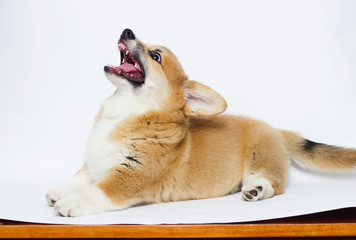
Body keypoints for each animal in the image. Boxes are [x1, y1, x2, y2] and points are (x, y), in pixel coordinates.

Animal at [46, 29, 356, 217]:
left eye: (155, 56)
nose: (127, 31)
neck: (127, 111)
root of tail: (275, 129)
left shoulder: (131, 176)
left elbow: (99, 191)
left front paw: (72, 203)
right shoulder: (96, 163)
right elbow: (81, 178)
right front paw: (60, 191)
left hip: (261, 159)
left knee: (273, 183)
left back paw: (257, 190)